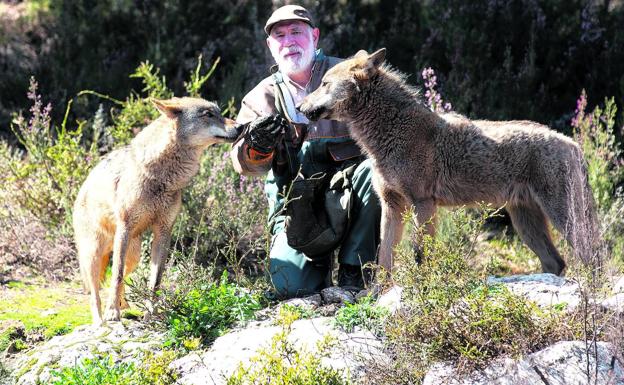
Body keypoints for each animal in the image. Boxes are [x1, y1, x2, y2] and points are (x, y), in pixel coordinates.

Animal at [74, 97, 243, 324]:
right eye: (208, 114)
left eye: (219, 112)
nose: (241, 127)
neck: (162, 178)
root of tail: (82, 189)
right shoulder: (125, 227)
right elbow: (116, 275)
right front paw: (112, 313)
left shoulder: (163, 231)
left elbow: (155, 280)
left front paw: (151, 313)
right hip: (96, 253)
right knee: (95, 292)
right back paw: (101, 320)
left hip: (134, 255)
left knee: (119, 278)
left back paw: (123, 305)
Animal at [298, 48, 600, 276]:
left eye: (324, 83)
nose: (300, 108)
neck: (392, 132)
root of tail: (574, 144)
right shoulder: (392, 206)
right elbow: (384, 259)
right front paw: (377, 297)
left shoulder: (424, 204)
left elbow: (421, 255)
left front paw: (424, 292)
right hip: (526, 224)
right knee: (557, 263)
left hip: (563, 221)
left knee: (593, 258)